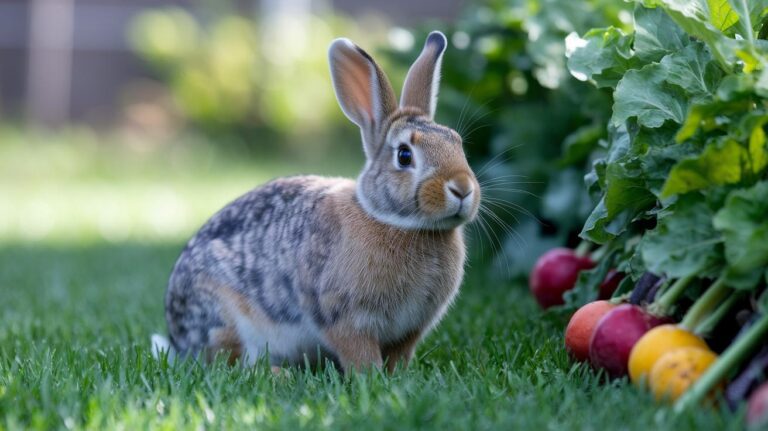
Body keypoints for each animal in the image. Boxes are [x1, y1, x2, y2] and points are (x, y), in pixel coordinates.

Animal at [155, 31, 481, 373]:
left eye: (457, 143)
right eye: (404, 155)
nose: (462, 188)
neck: (400, 223)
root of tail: (178, 339)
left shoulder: (409, 330)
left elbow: (399, 356)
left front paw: (397, 377)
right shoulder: (344, 318)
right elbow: (360, 355)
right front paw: (372, 377)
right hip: (225, 320)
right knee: (228, 364)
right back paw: (279, 375)